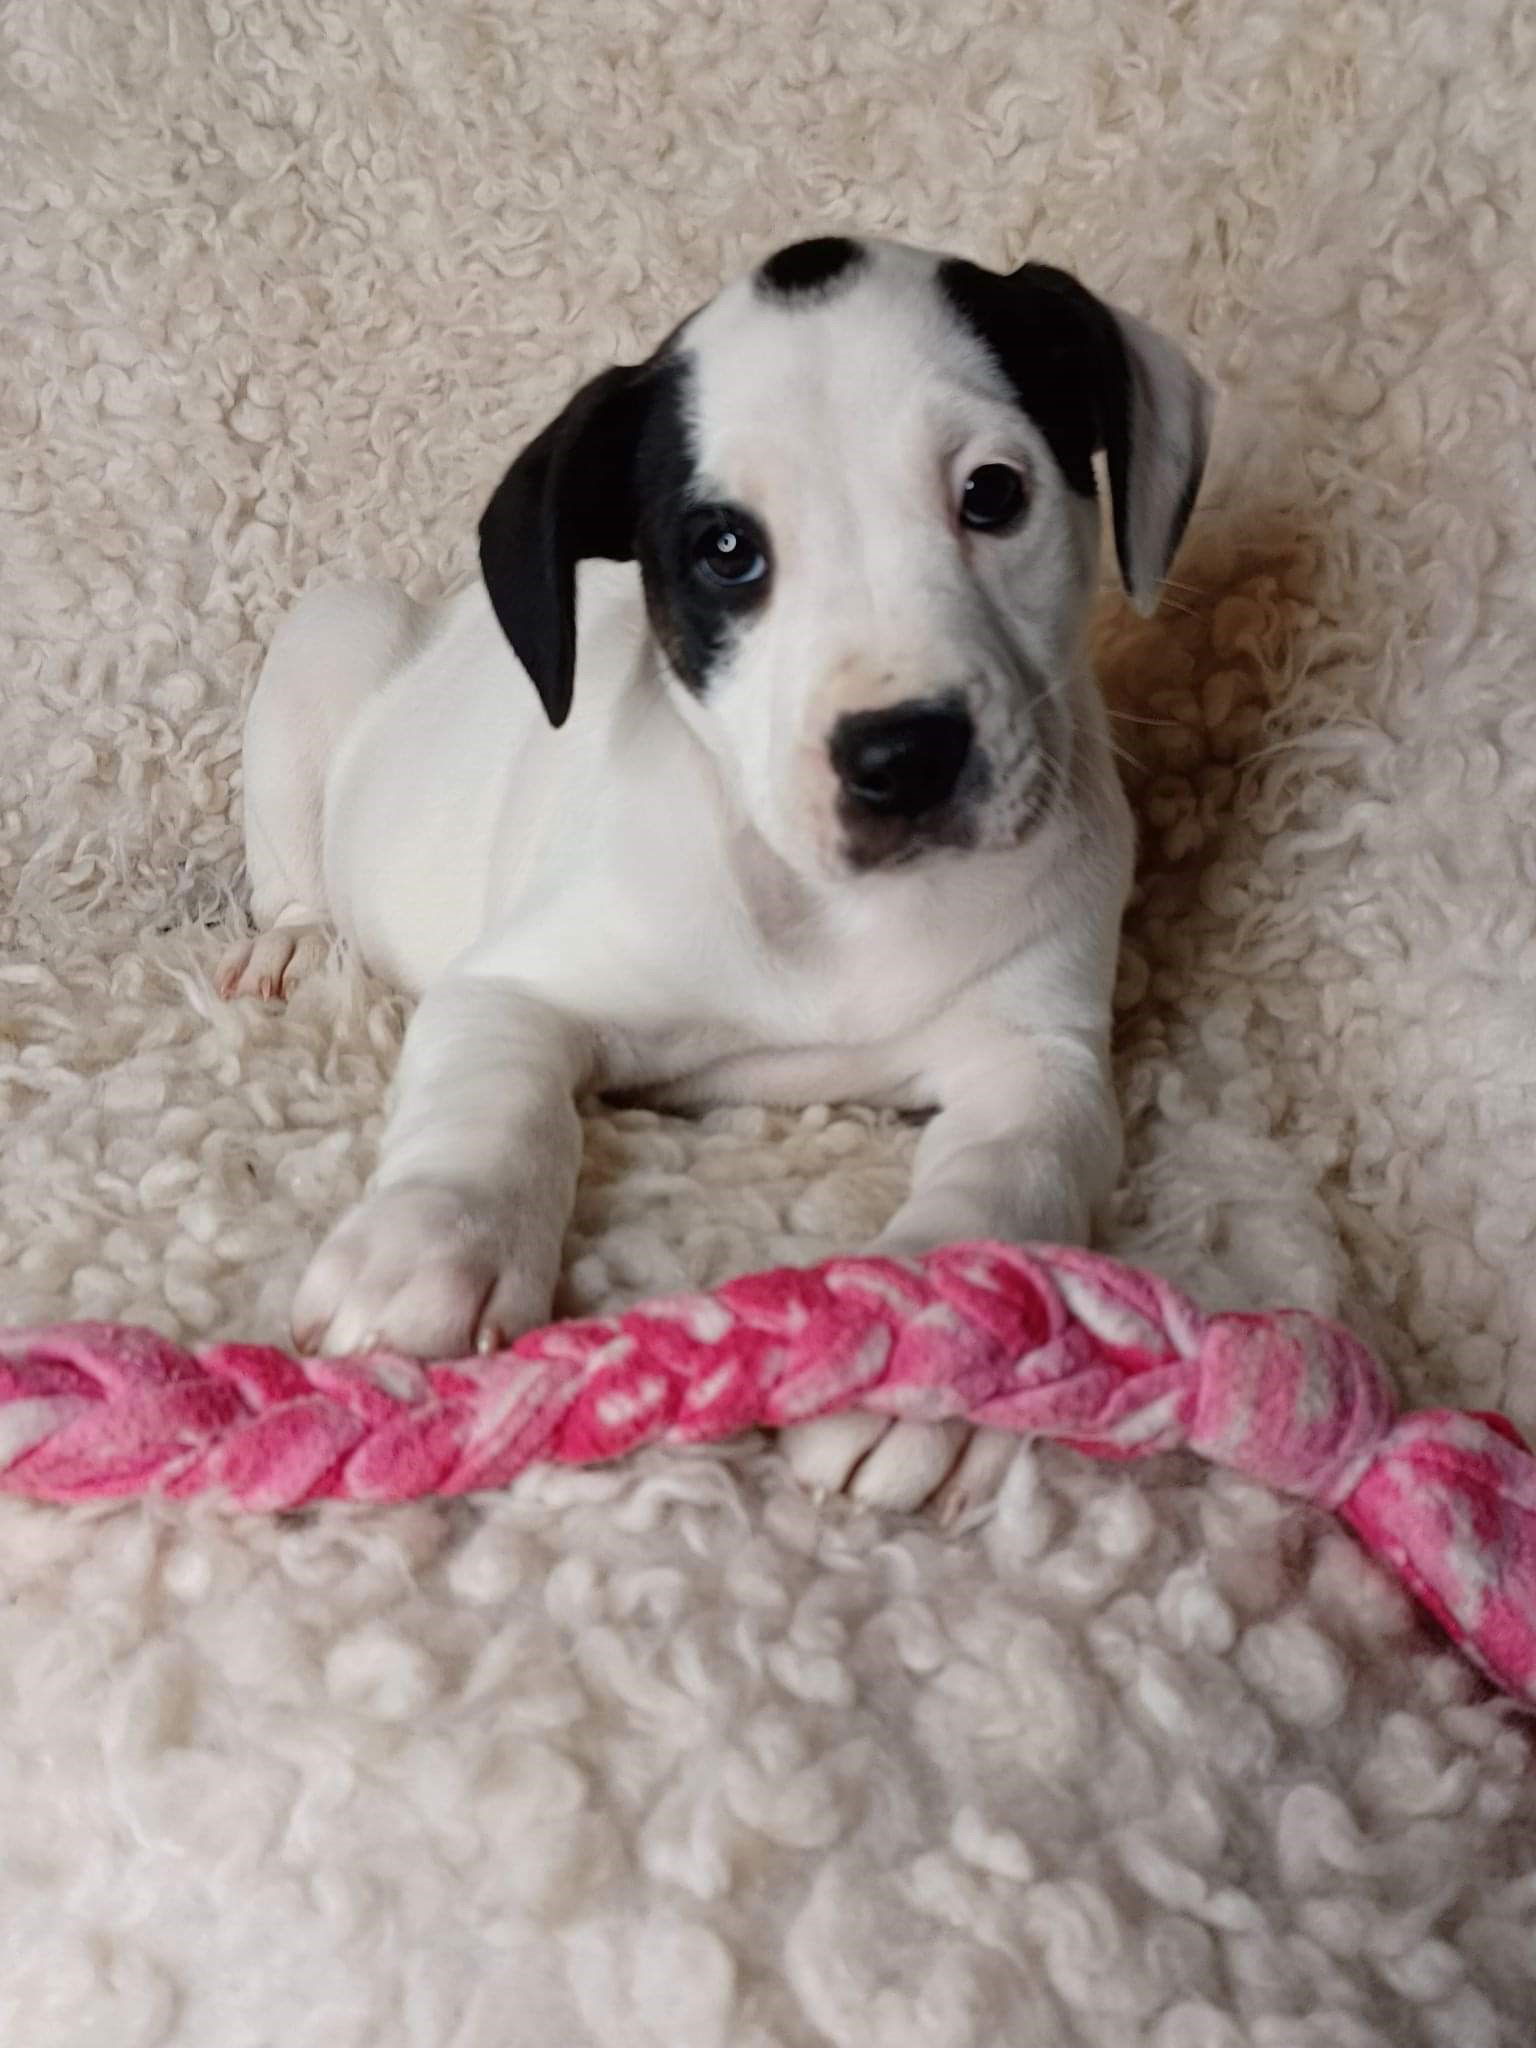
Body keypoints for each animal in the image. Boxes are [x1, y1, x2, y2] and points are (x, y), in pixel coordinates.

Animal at [219, 239, 1212, 1523]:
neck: (832, 908)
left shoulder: (1040, 1059)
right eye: (726, 551)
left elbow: (1007, 1181)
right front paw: (430, 1241)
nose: (902, 755)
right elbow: (490, 1102)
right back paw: (296, 942)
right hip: (323, 644)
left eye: (994, 493)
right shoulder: (516, 986)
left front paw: (928, 1355)